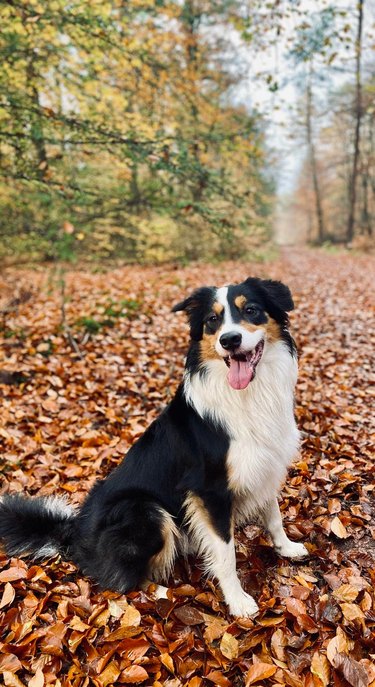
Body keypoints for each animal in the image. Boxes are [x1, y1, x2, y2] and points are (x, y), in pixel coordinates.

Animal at [0, 278, 308, 620]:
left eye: (251, 310)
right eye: (212, 320)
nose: (229, 340)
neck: (249, 393)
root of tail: (75, 532)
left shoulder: (267, 464)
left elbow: (274, 515)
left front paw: (286, 547)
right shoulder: (210, 490)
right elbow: (226, 553)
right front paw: (237, 600)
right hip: (146, 510)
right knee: (121, 579)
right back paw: (164, 593)